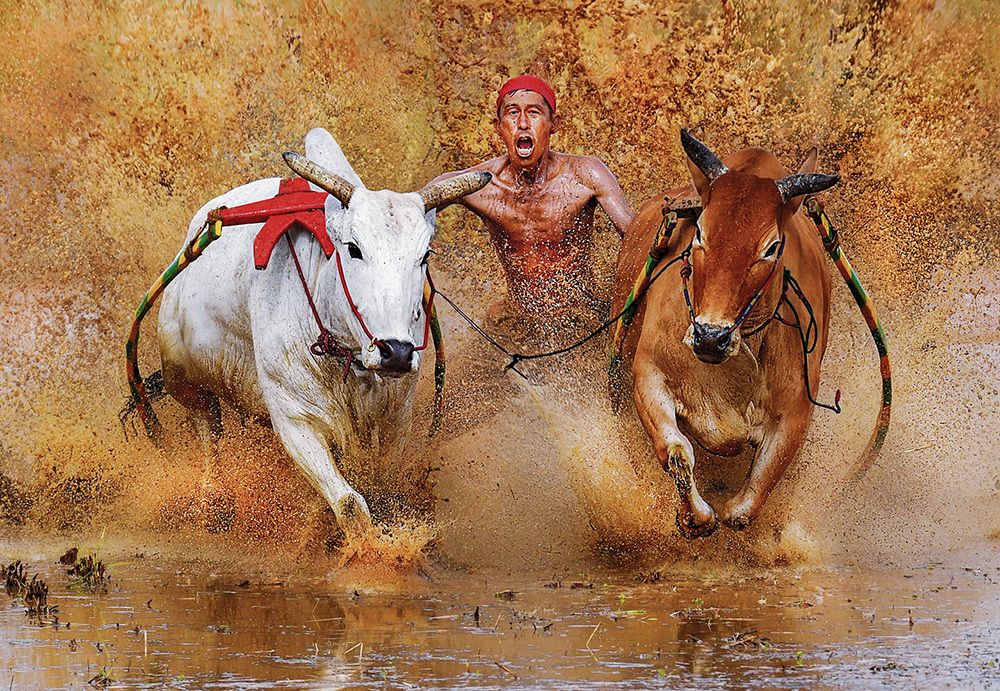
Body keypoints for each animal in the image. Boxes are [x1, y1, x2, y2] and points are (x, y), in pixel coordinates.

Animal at [155, 128, 490, 537]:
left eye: (425, 255)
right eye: (353, 248)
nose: (396, 351)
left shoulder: (395, 418)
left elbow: (385, 492)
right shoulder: (295, 419)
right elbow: (350, 505)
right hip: (186, 381)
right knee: (209, 435)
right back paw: (214, 501)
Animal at [610, 129, 839, 539]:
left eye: (772, 246)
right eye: (699, 232)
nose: (709, 336)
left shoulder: (796, 412)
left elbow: (745, 507)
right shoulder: (648, 376)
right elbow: (676, 453)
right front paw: (695, 517)